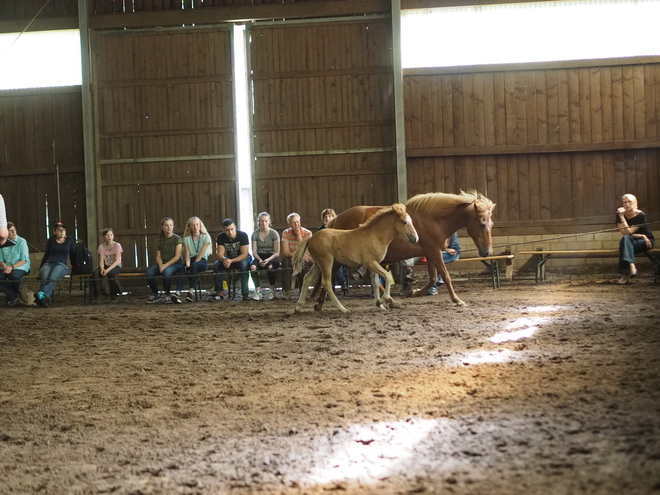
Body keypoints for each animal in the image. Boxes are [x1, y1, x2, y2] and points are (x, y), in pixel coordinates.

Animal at [324, 192, 496, 308]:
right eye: (482, 224)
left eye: (491, 224)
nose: (487, 252)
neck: (434, 219)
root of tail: (336, 220)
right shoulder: (434, 252)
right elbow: (446, 276)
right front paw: (457, 300)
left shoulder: (431, 253)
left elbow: (433, 277)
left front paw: (415, 292)